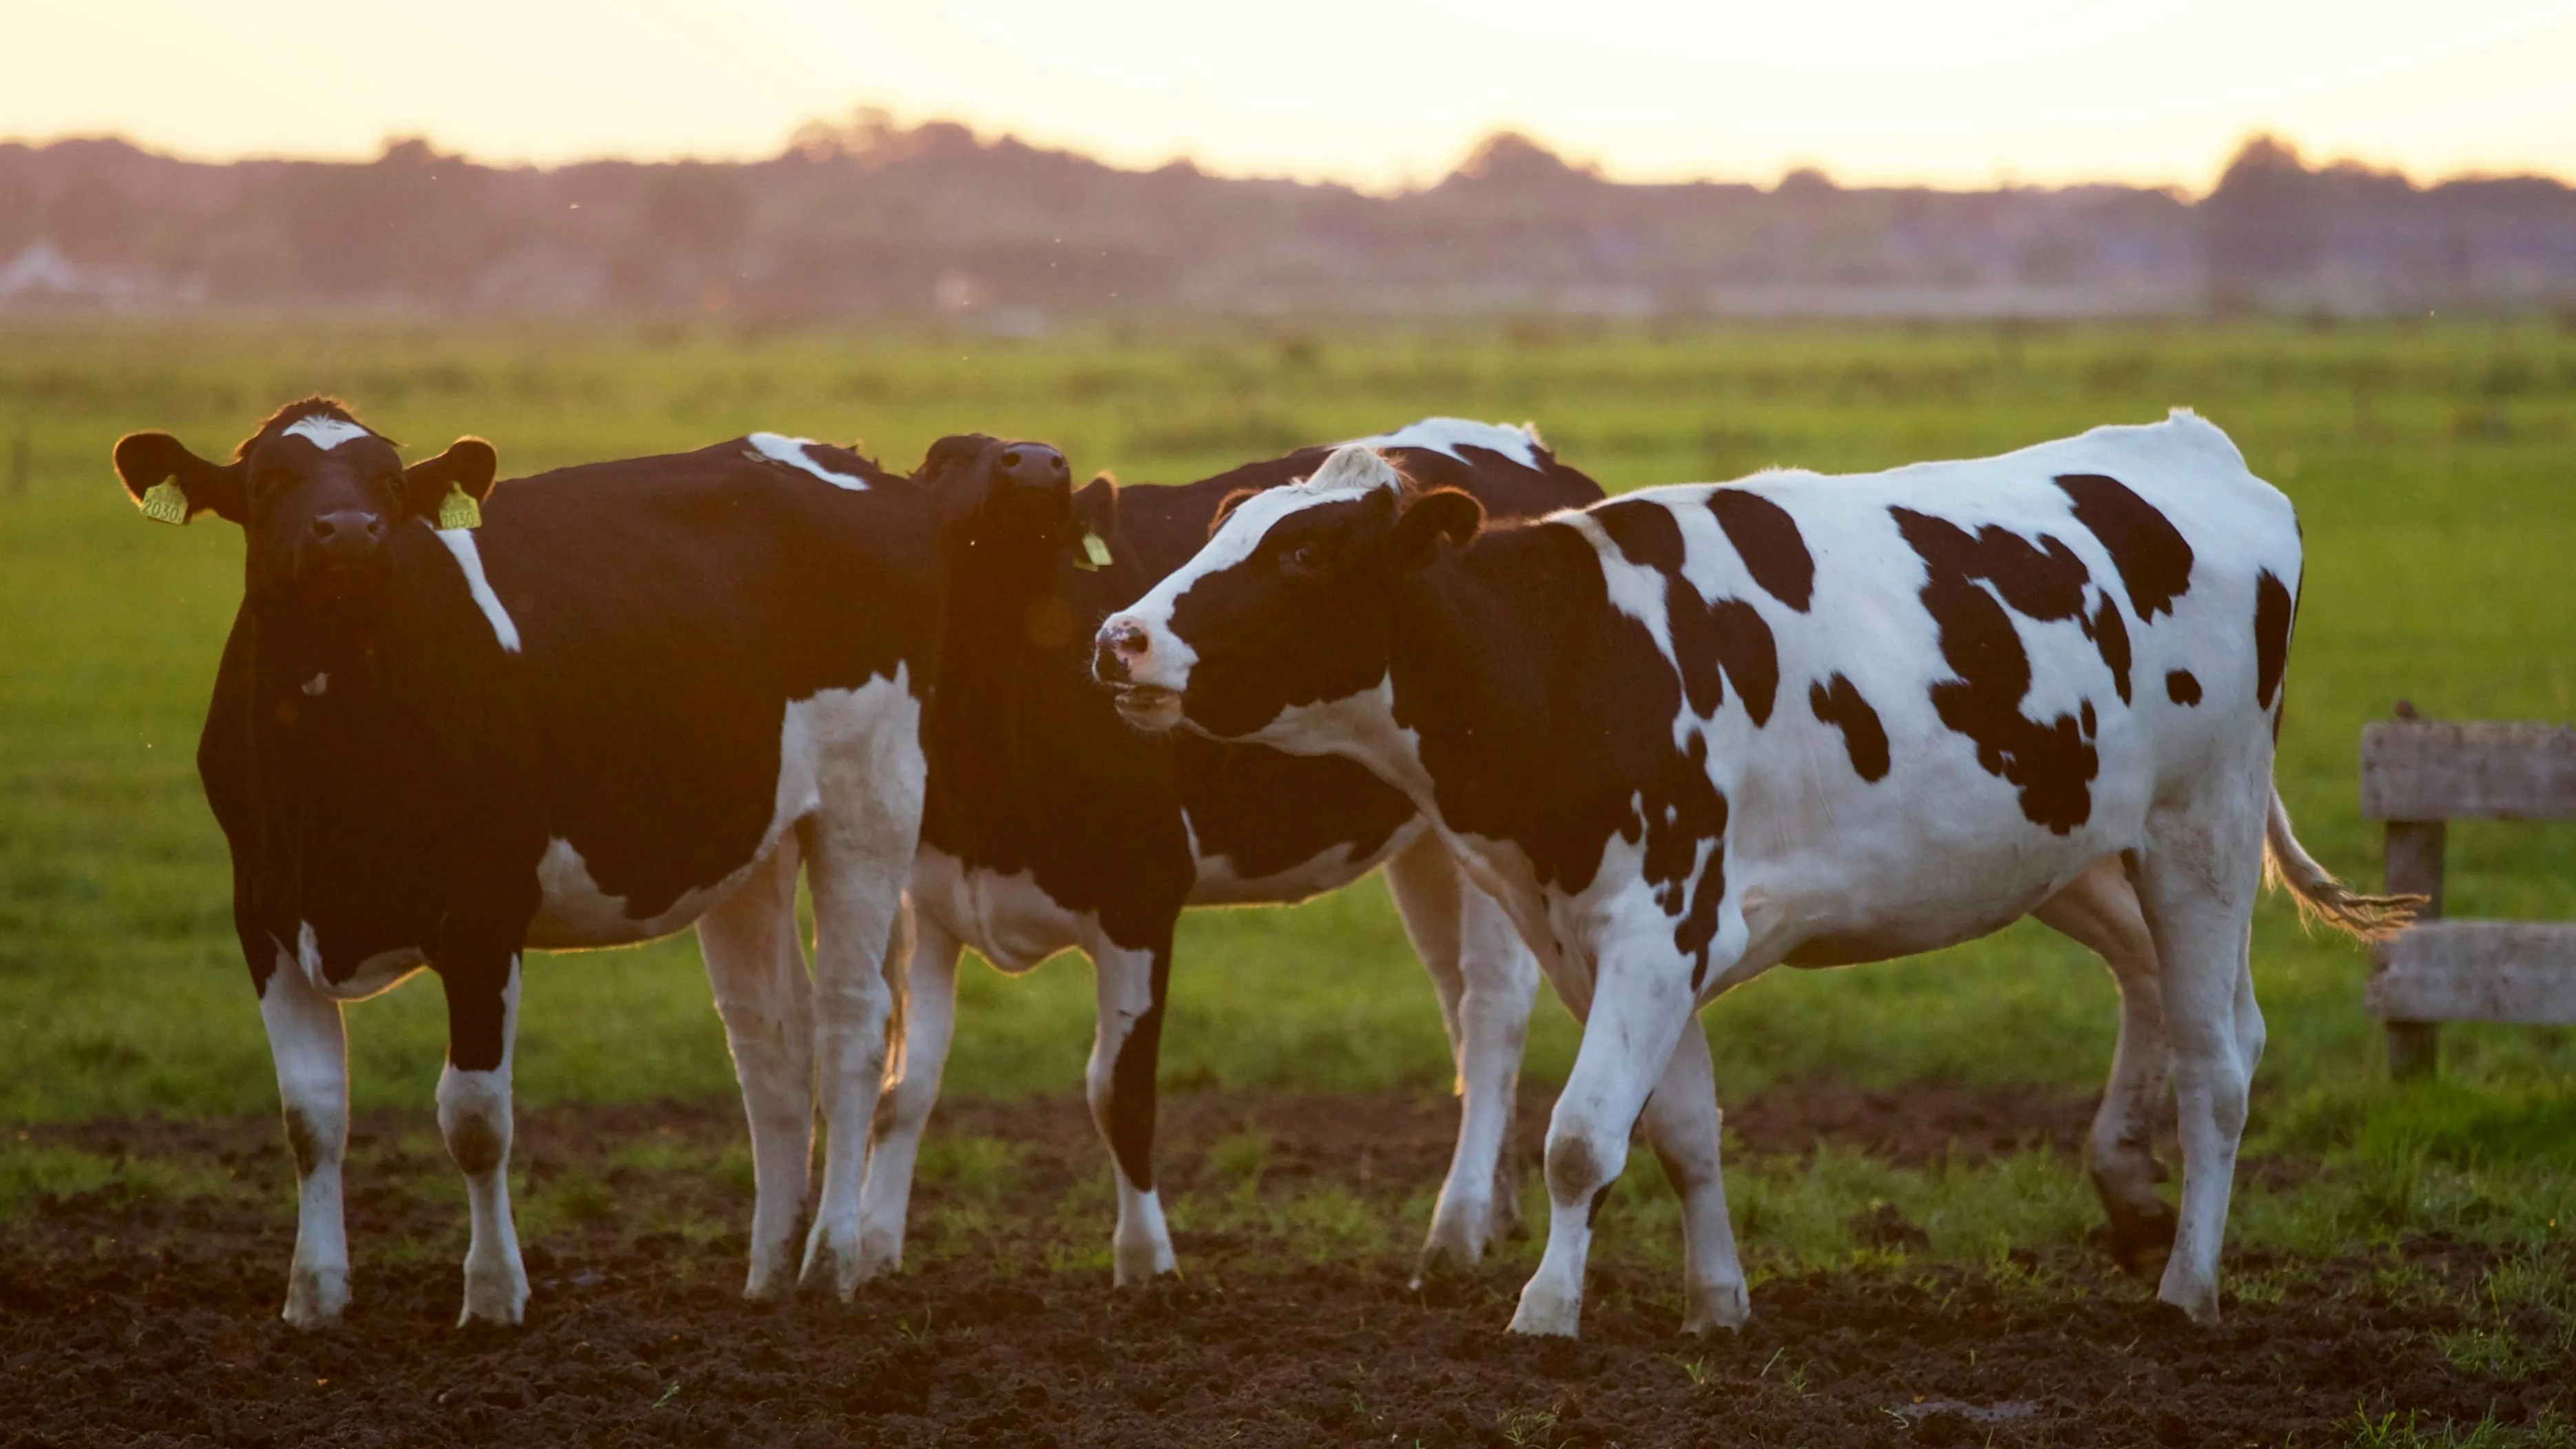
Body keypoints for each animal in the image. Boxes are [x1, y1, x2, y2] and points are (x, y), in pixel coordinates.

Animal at [110, 396, 1056, 1328]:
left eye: (389, 483)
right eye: (269, 481)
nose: (348, 532)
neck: (333, 756)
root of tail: (860, 466)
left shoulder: (484, 915)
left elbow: (475, 1116)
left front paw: (494, 1295)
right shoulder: (264, 915)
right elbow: (310, 1114)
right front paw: (314, 1297)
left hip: (871, 800)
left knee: (851, 1026)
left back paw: (830, 1263)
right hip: (749, 840)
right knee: (770, 1041)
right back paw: (768, 1270)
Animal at [855, 417, 1597, 1282]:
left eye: (1056, 470)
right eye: (943, 458)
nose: (1037, 463)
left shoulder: (1140, 895)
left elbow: (1119, 1092)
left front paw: (1146, 1266)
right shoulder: (931, 900)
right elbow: (904, 1088)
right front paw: (869, 1253)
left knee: (1491, 1013)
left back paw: (1455, 1228)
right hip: (1431, 842)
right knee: (1456, 1004)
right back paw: (1496, 1209)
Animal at [1097, 411, 2421, 1338]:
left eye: (1306, 552)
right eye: (1221, 529)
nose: (1119, 637)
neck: (1576, 654)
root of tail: (2192, 446)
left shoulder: (1656, 920)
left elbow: (1581, 1136)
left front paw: (1545, 1311)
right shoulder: (1603, 935)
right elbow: (1679, 1128)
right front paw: (1717, 1302)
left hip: (2202, 830)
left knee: (2219, 1062)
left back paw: (2189, 1285)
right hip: (2075, 847)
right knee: (2171, 997)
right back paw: (2133, 1194)